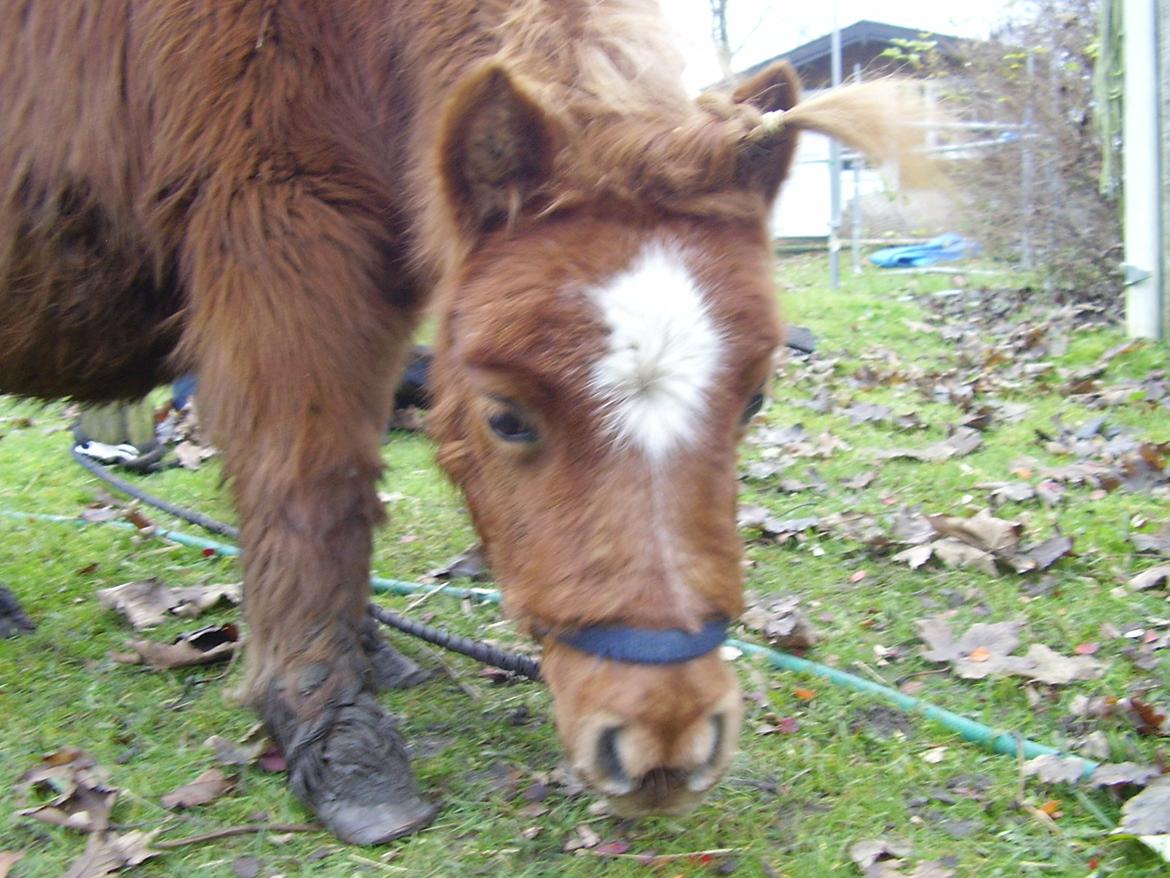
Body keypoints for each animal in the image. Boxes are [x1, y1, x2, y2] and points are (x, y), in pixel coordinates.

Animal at [0, 0, 921, 847]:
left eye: (755, 400)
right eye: (505, 418)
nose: (665, 746)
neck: (343, 43)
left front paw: (370, 655)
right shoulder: (283, 246)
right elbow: (312, 483)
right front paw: (332, 730)